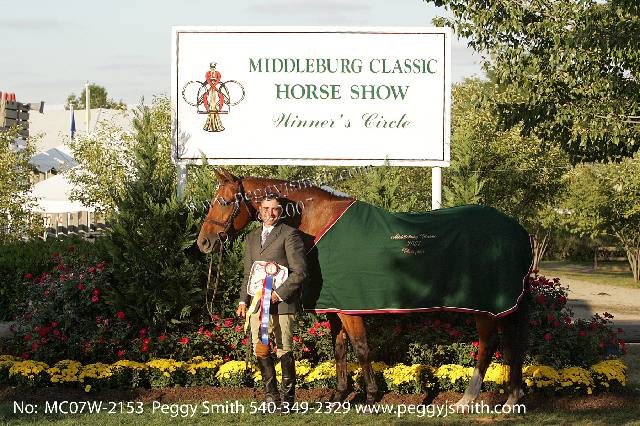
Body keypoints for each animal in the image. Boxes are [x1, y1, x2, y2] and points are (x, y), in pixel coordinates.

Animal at [197, 168, 530, 408]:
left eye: (224, 202)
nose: (204, 242)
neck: (320, 221)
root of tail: (518, 230)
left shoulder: (349, 308)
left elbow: (361, 348)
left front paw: (370, 396)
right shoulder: (334, 306)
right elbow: (340, 350)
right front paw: (338, 397)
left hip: (487, 306)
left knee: (488, 345)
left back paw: (468, 399)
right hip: (502, 307)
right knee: (509, 344)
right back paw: (511, 398)